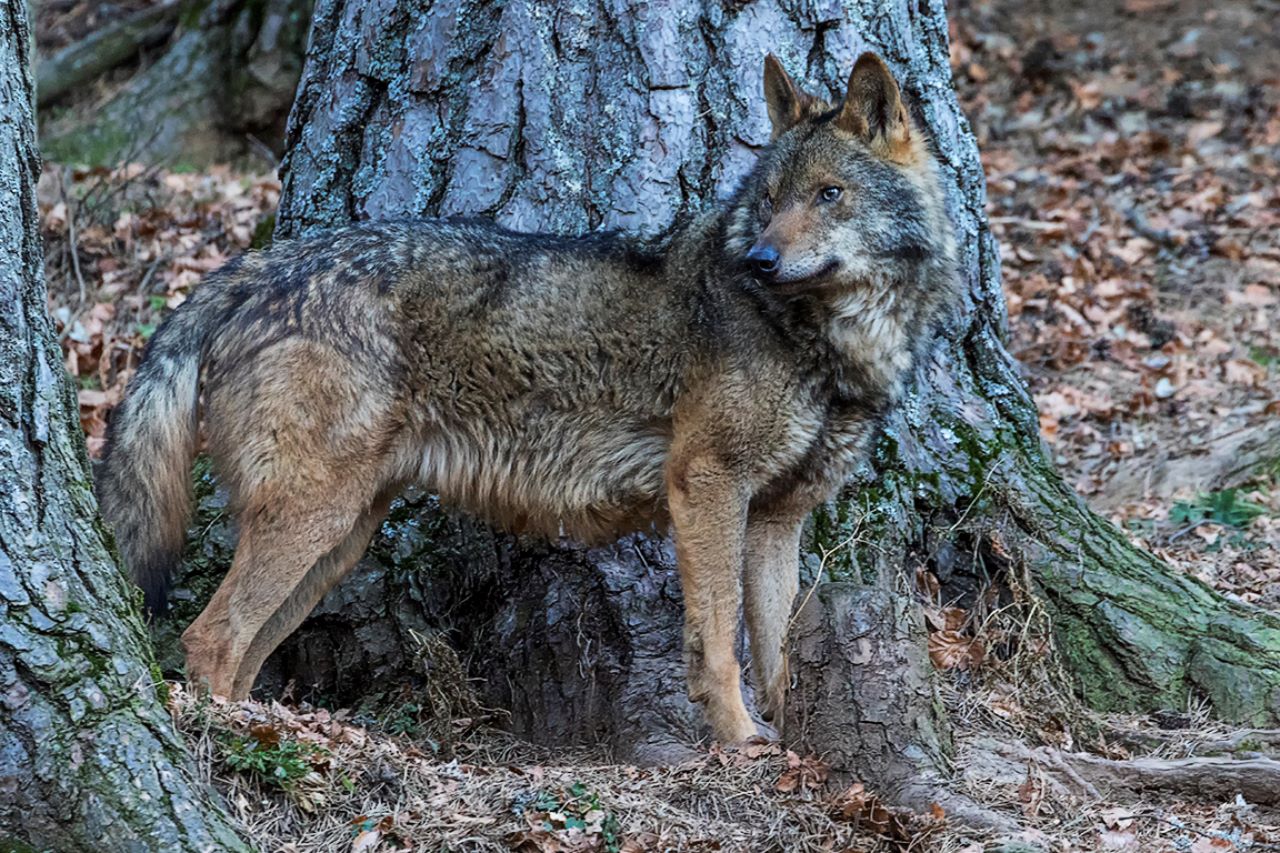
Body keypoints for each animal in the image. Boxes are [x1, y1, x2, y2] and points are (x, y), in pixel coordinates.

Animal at [99, 52, 959, 745]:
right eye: (772, 198)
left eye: (830, 194)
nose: (760, 259)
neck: (828, 342)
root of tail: (259, 265)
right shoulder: (707, 484)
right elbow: (718, 642)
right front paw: (741, 741)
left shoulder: (779, 516)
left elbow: (775, 648)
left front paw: (791, 738)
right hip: (313, 522)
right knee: (209, 639)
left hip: (337, 539)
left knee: (244, 650)